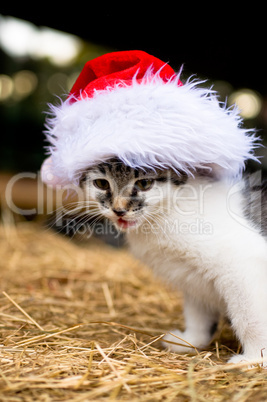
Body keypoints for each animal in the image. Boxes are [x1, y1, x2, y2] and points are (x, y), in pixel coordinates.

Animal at [80, 159, 267, 366]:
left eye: (144, 183)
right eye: (101, 183)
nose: (119, 210)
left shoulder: (243, 263)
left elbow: (250, 317)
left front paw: (255, 357)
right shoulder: (191, 275)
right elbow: (197, 314)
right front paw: (190, 341)